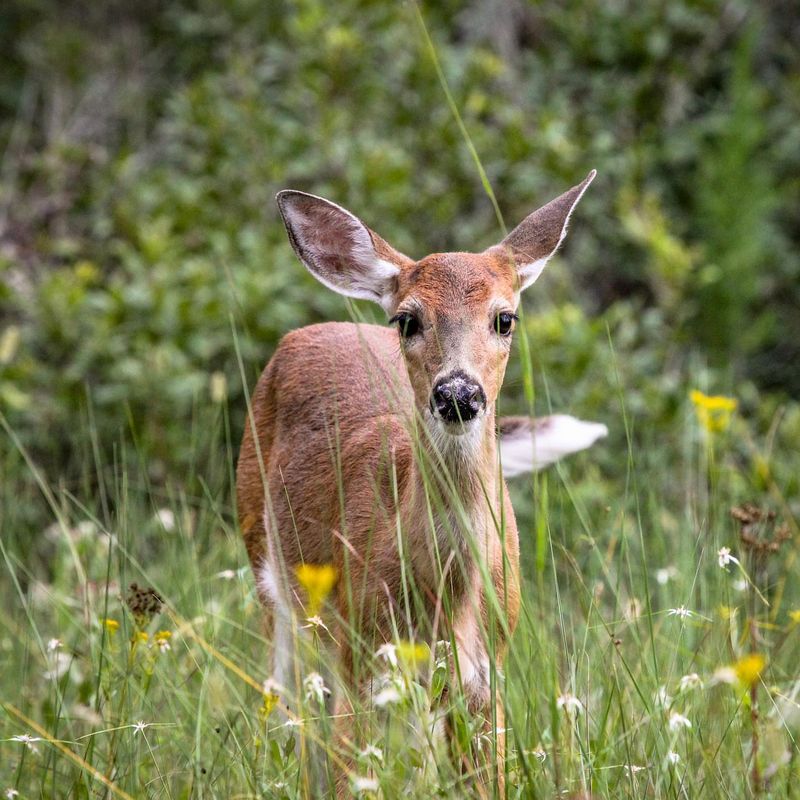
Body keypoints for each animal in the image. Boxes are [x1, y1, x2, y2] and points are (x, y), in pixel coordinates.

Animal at [236, 170, 606, 796]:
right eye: (408, 319)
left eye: (505, 318)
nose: (458, 392)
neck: (444, 599)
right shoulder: (360, 655)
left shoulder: (487, 674)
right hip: (272, 580)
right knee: (285, 716)